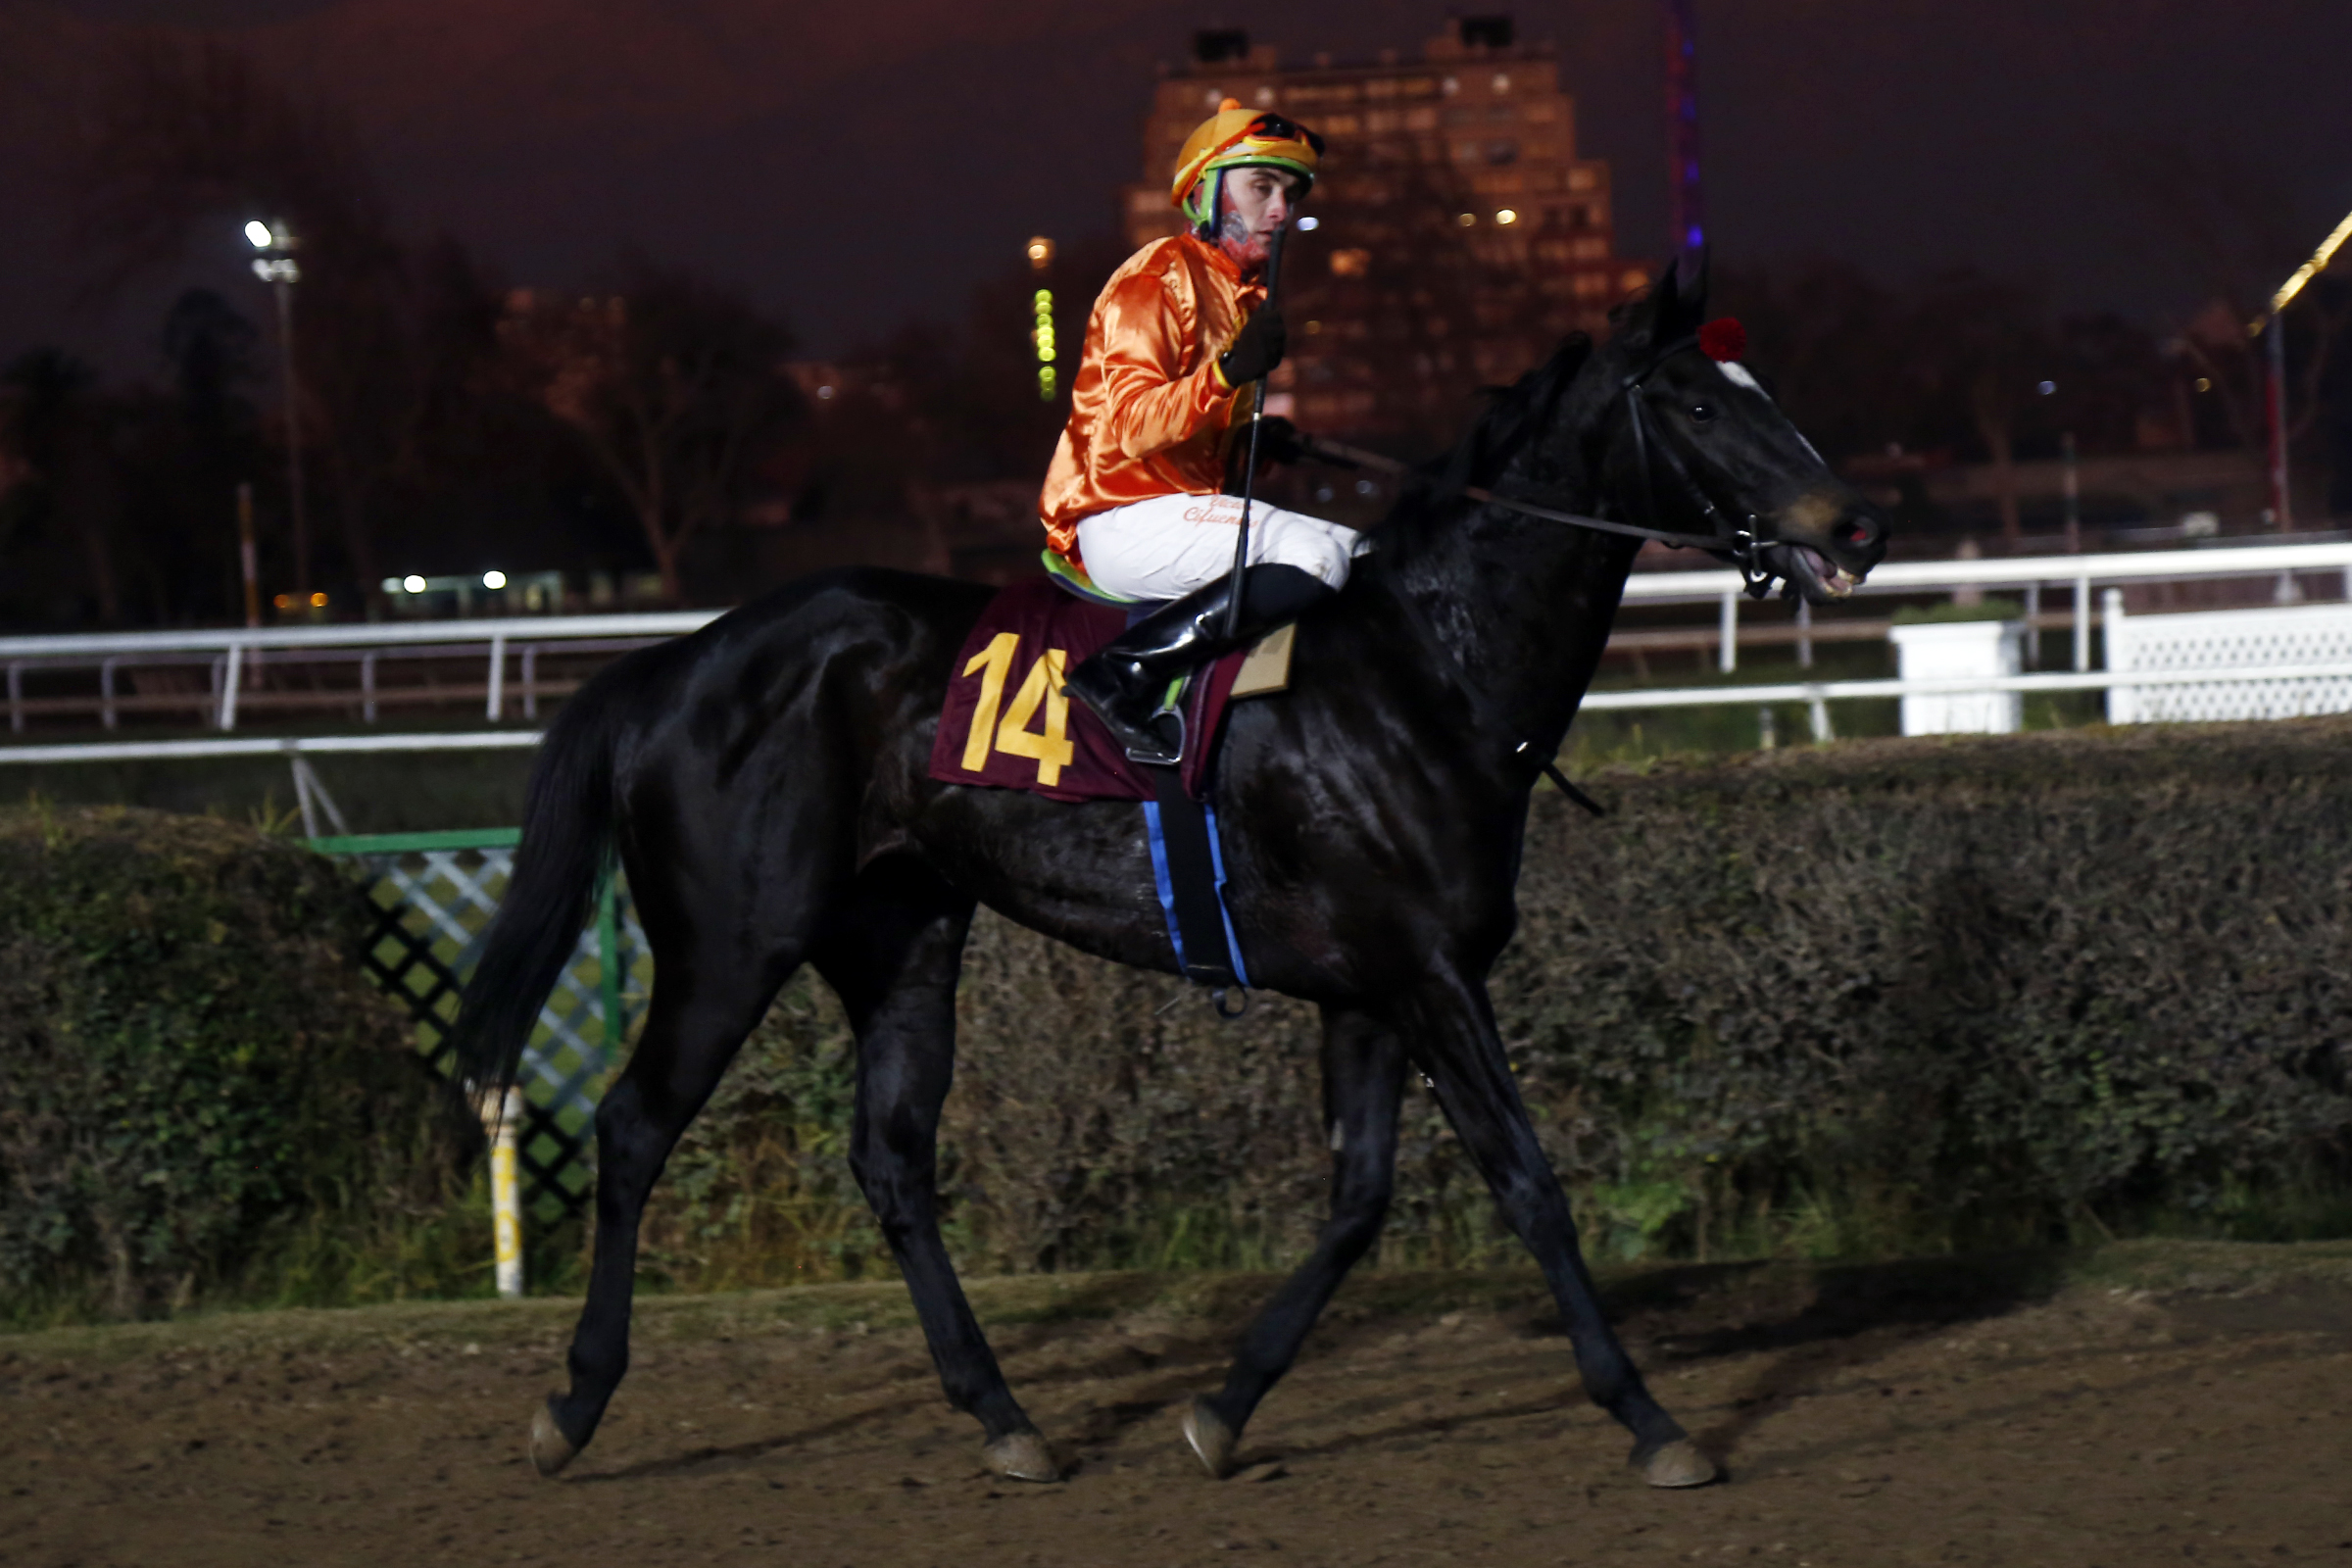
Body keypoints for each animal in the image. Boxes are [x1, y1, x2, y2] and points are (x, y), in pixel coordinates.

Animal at [447, 259, 1888, 1492]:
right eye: (1699, 401)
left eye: (1761, 387)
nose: (1857, 523)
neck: (1430, 672)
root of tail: (672, 662)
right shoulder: (1431, 975)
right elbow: (1529, 1184)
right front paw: (1651, 1418)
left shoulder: (1369, 989)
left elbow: (1357, 1201)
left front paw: (1223, 1407)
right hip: (733, 940)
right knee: (635, 1128)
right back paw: (575, 1403)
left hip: (900, 936)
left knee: (893, 1161)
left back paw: (1005, 1417)